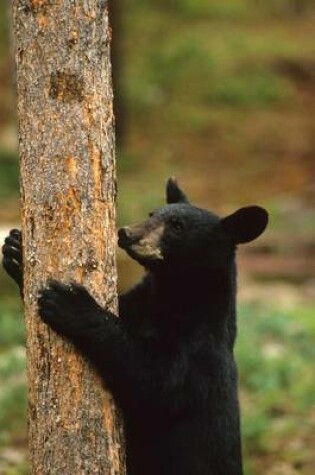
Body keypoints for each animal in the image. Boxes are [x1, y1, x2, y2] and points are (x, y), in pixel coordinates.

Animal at [1, 178, 270, 475]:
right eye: (153, 213)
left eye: (177, 226)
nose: (126, 233)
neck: (171, 292)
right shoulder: (140, 302)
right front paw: (16, 251)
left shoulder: (200, 350)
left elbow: (155, 379)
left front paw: (70, 302)